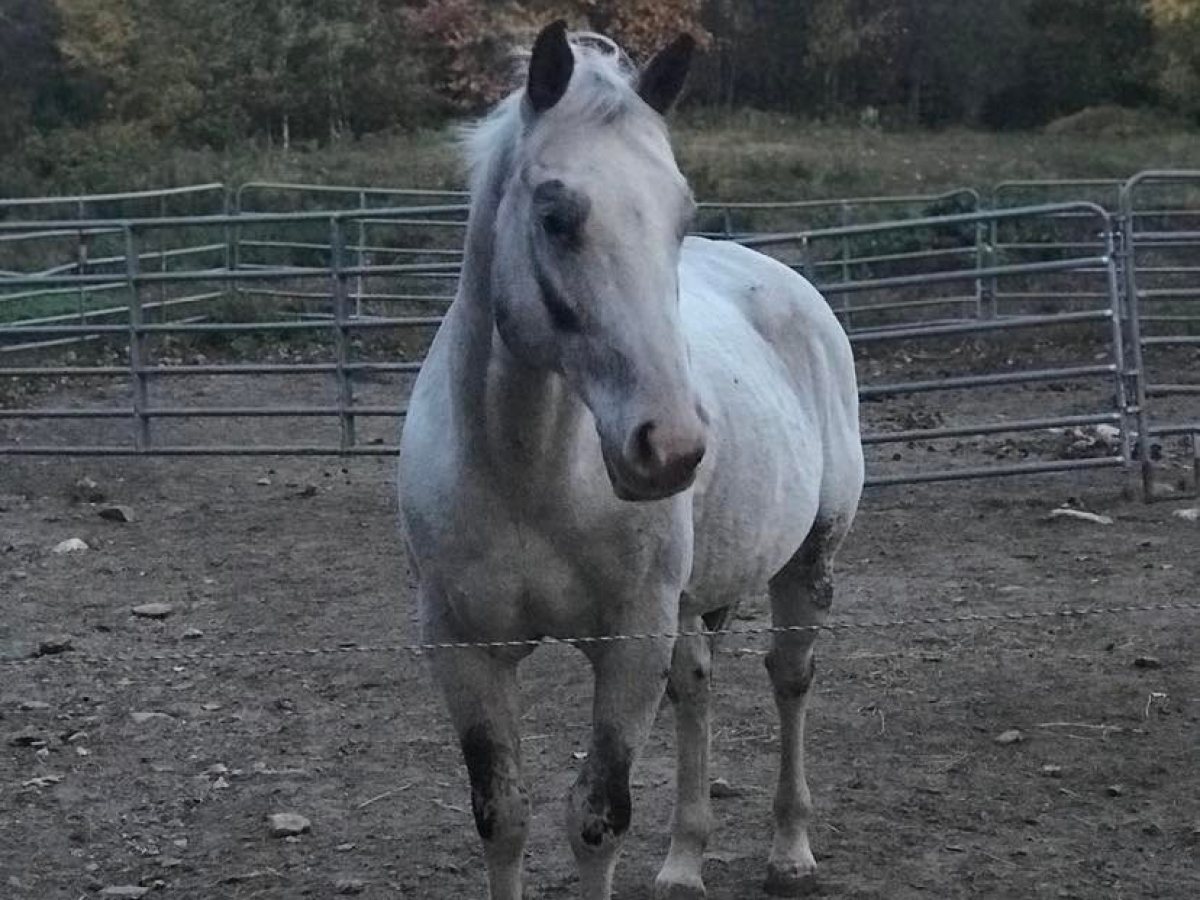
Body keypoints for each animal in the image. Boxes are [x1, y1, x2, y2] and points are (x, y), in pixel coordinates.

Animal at [398, 22, 864, 900]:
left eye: (680, 215)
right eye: (555, 216)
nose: (671, 448)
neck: (530, 474)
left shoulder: (630, 641)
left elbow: (598, 818)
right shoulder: (462, 649)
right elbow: (501, 817)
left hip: (806, 562)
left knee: (789, 678)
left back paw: (791, 849)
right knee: (697, 690)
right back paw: (683, 862)